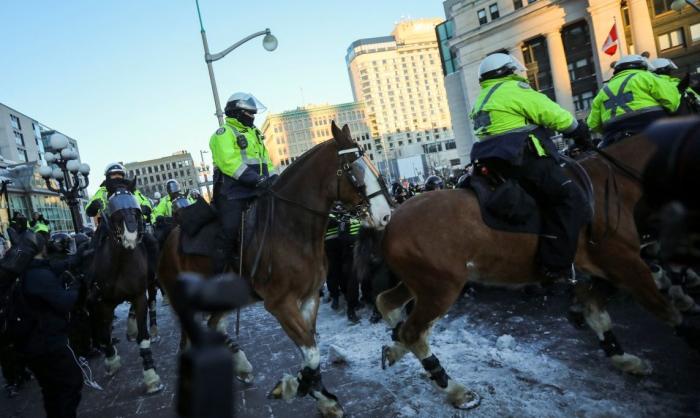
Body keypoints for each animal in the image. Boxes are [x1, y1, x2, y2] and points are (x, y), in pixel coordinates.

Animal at [158, 122, 394, 416]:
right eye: (354, 168)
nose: (386, 215)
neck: (290, 229)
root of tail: (169, 239)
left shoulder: (309, 298)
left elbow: (310, 350)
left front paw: (315, 392)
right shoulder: (280, 304)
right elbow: (311, 351)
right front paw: (302, 388)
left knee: (214, 325)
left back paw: (241, 365)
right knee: (188, 340)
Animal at [358, 132, 696, 410]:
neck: (612, 184)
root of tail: (389, 223)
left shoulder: (605, 269)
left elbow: (596, 310)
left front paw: (625, 359)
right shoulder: (625, 264)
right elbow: (665, 309)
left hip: (420, 284)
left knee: (389, 306)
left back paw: (395, 348)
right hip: (440, 289)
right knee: (413, 331)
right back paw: (456, 390)